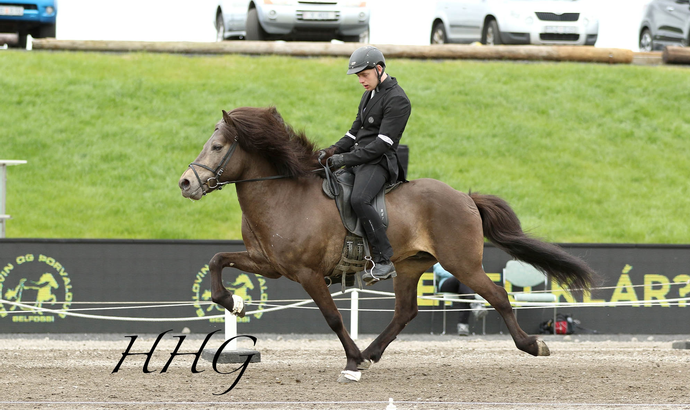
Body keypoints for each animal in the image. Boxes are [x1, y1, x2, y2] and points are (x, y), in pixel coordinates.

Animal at [180, 105, 592, 382]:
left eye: (218, 146)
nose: (186, 183)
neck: (283, 193)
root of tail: (464, 197)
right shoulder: (268, 263)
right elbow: (217, 260)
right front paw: (234, 302)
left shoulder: (307, 273)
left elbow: (333, 317)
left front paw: (351, 360)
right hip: (409, 265)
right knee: (405, 312)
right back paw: (372, 351)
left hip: (462, 264)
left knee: (498, 296)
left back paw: (532, 345)